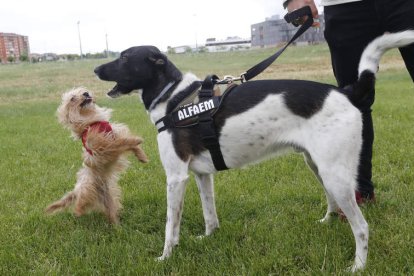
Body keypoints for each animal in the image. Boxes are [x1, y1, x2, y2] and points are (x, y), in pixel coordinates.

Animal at [45, 87, 147, 223]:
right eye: (72, 98)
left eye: (83, 90)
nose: (86, 93)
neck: (91, 121)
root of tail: (76, 191)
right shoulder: (103, 146)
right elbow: (122, 142)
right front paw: (136, 140)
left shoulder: (114, 134)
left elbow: (127, 143)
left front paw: (142, 156)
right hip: (87, 190)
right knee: (79, 205)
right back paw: (78, 212)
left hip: (108, 197)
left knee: (111, 211)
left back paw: (116, 224)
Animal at [95, 30, 414, 272]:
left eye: (125, 57)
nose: (96, 69)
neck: (175, 98)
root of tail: (346, 92)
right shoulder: (201, 175)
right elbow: (210, 215)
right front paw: (209, 237)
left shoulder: (176, 178)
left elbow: (170, 227)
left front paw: (165, 257)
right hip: (317, 166)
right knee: (334, 204)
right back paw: (327, 221)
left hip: (335, 174)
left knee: (362, 227)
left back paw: (358, 266)